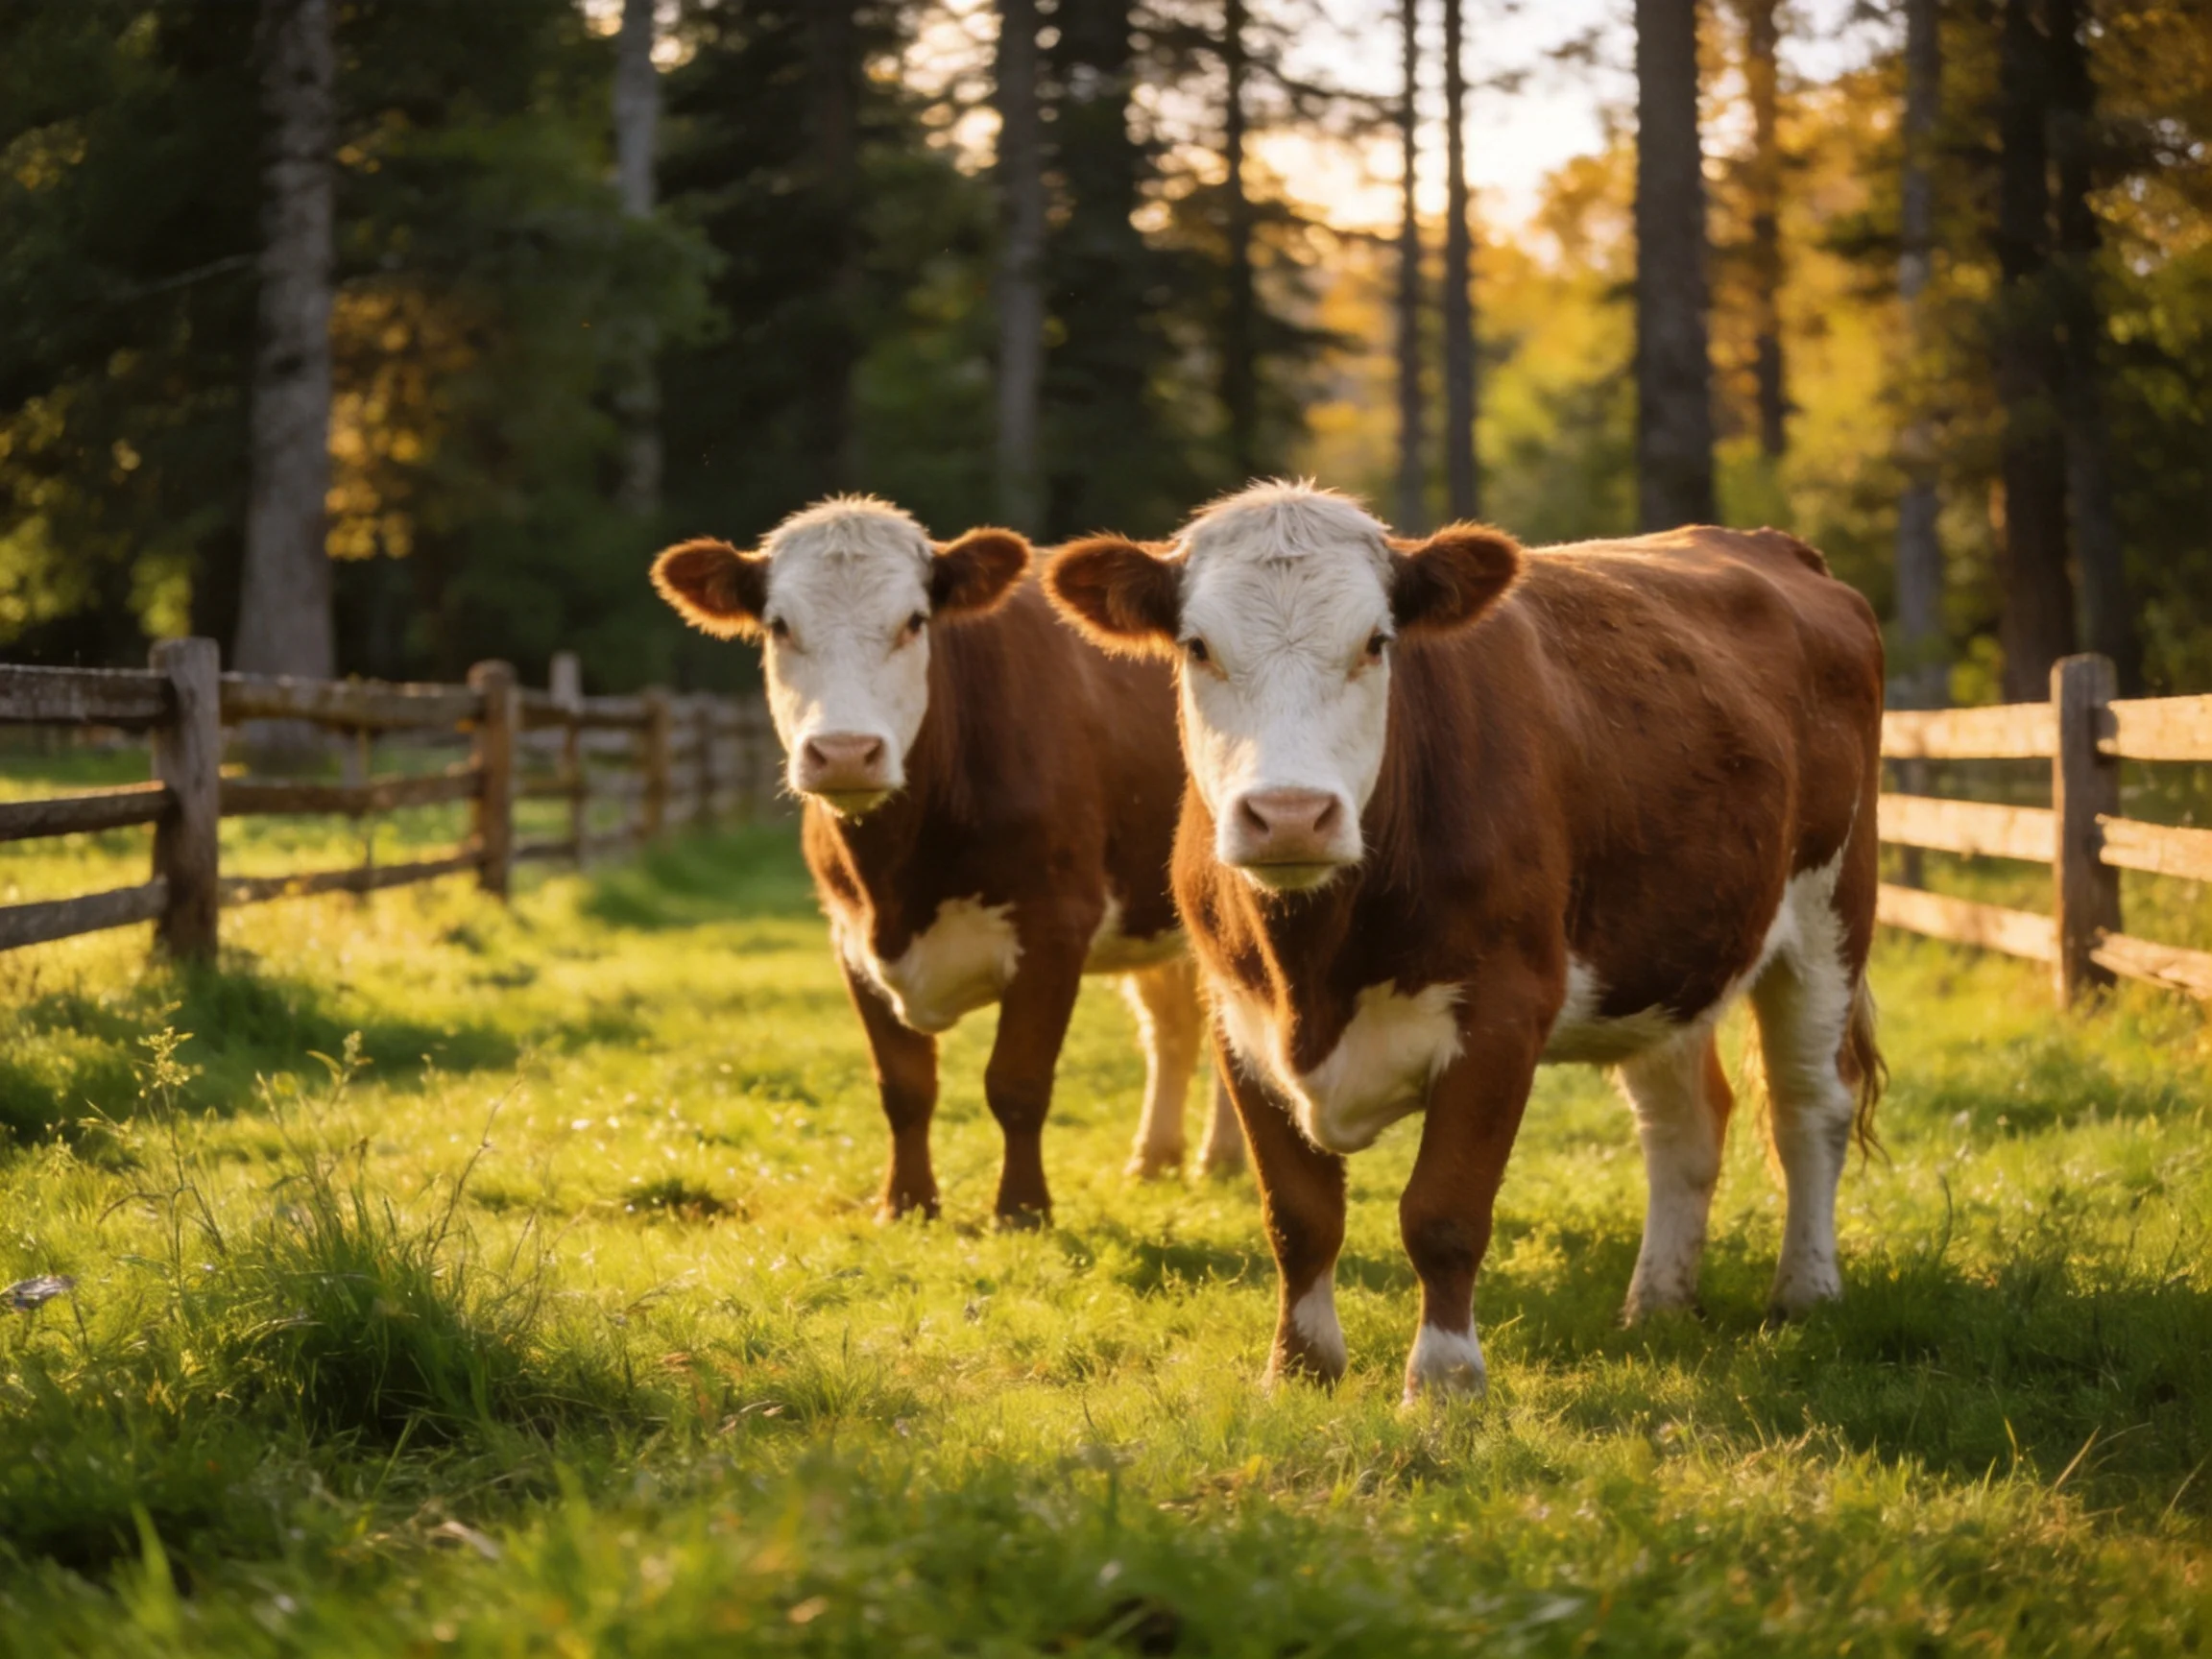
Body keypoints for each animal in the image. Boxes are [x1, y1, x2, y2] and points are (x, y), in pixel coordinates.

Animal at [650, 496, 1242, 1228]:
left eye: (914, 621)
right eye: (779, 625)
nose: (844, 753)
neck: (899, 879)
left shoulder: (1055, 925)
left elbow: (1017, 1082)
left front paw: (1022, 1209)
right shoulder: (849, 937)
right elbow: (904, 1086)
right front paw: (906, 1203)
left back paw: (1219, 1157)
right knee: (1173, 1029)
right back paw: (1156, 1159)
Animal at [1044, 480, 1885, 1402]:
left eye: (1376, 643)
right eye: (1197, 647)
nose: (1291, 815)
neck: (1315, 971)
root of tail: (1771, 545)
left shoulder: (1502, 1016)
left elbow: (1442, 1213)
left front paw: (1445, 1381)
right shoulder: (1239, 1016)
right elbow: (1298, 1215)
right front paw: (1299, 1368)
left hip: (1830, 914)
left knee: (1811, 1104)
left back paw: (1805, 1292)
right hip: (1664, 955)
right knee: (1684, 1123)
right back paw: (1658, 1302)